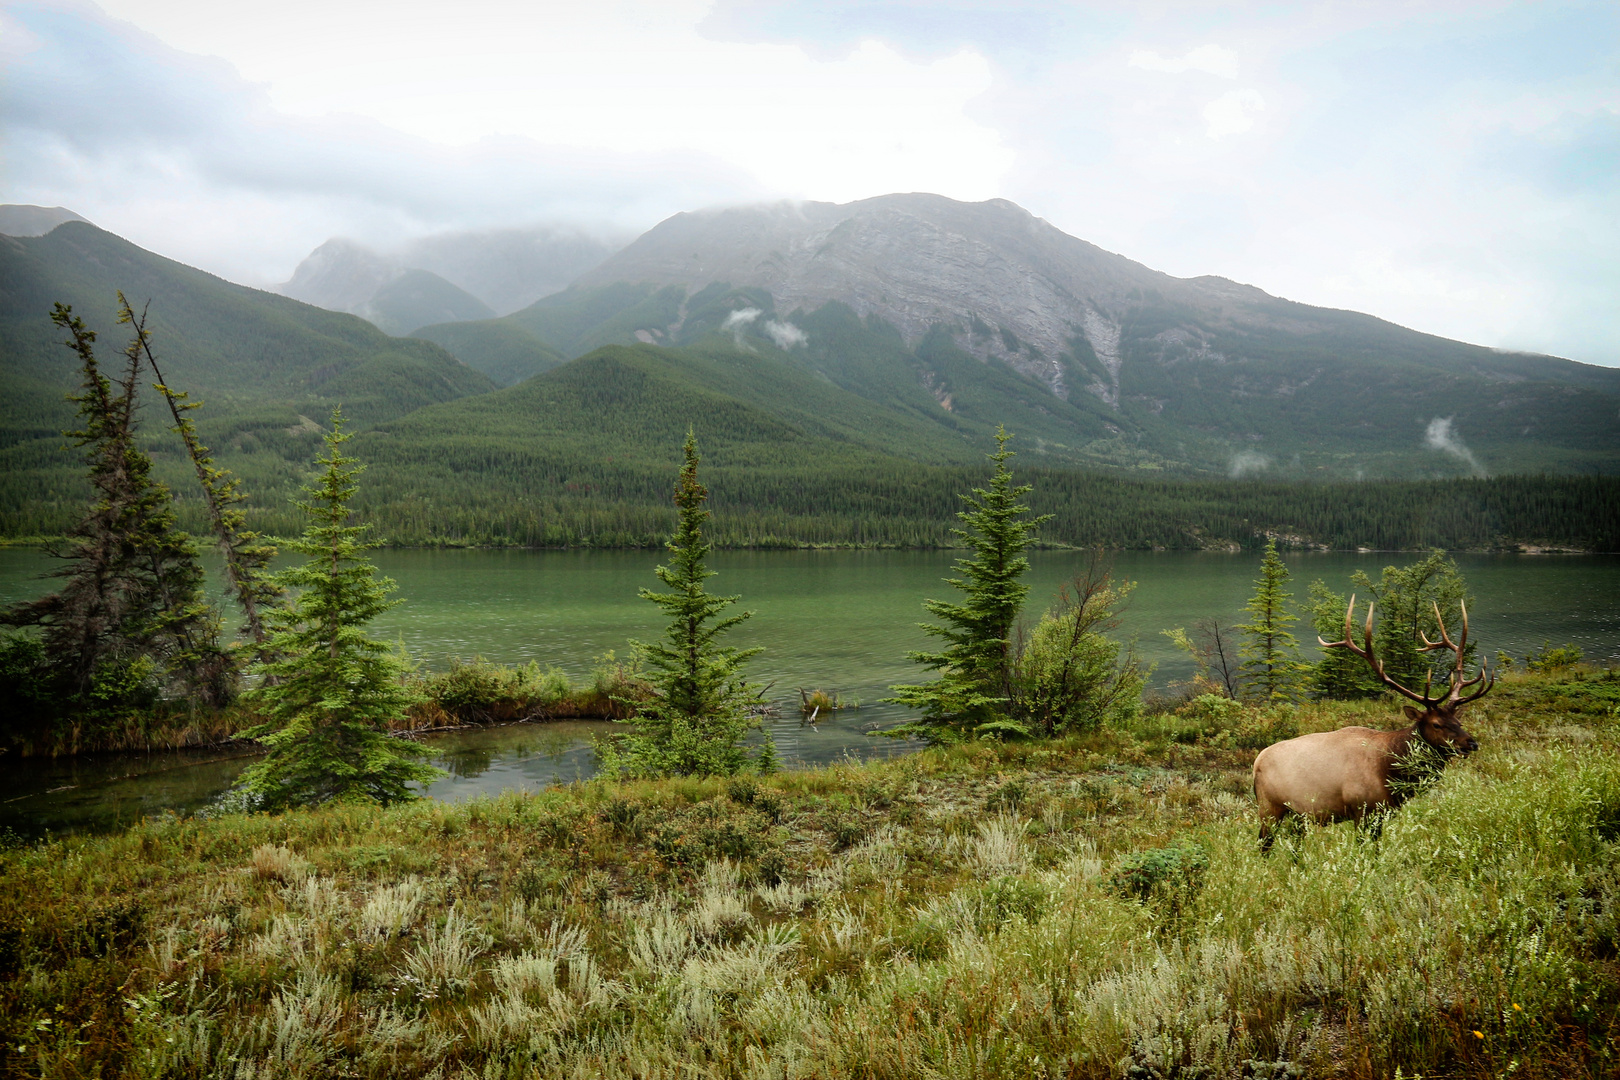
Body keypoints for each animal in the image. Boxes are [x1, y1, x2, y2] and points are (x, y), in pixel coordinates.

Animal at [1250, 595, 1490, 848]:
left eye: (1458, 721)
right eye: (1436, 723)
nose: (1471, 743)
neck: (1390, 772)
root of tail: (1255, 764)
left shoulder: (1382, 813)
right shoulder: (1362, 809)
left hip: (1297, 816)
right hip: (1270, 807)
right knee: (1263, 845)